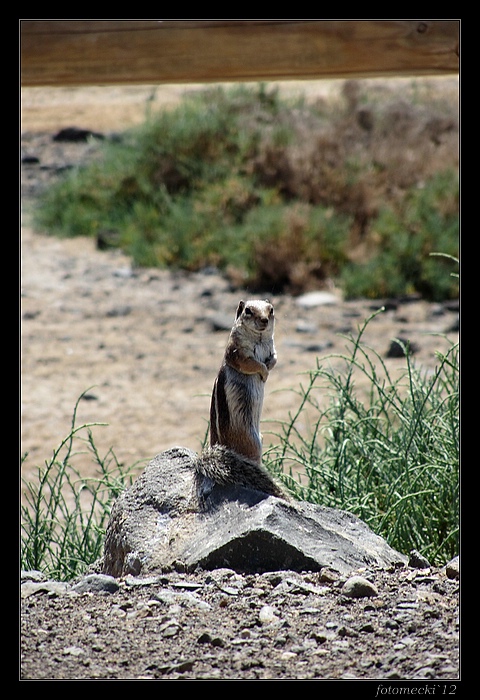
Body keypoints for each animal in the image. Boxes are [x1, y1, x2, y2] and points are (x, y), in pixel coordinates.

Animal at [194, 298, 286, 500]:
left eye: (271, 309)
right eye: (248, 311)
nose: (264, 320)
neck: (259, 338)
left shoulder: (273, 348)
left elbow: (275, 358)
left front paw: (269, 367)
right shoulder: (237, 353)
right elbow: (252, 364)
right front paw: (264, 372)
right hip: (251, 442)